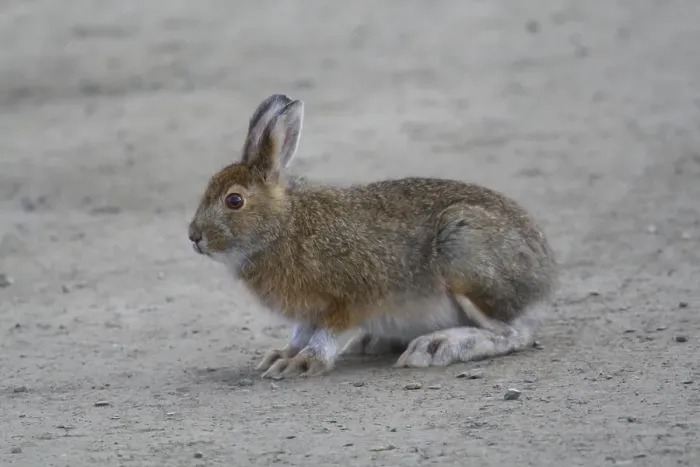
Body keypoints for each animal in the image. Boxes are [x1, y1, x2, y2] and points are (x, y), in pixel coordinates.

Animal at [188, 94, 557, 379]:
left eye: (234, 201)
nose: (194, 236)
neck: (284, 226)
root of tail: (545, 273)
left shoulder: (351, 297)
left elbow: (327, 335)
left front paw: (303, 363)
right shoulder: (308, 313)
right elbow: (301, 333)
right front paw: (281, 356)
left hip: (463, 255)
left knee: (512, 333)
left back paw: (435, 346)